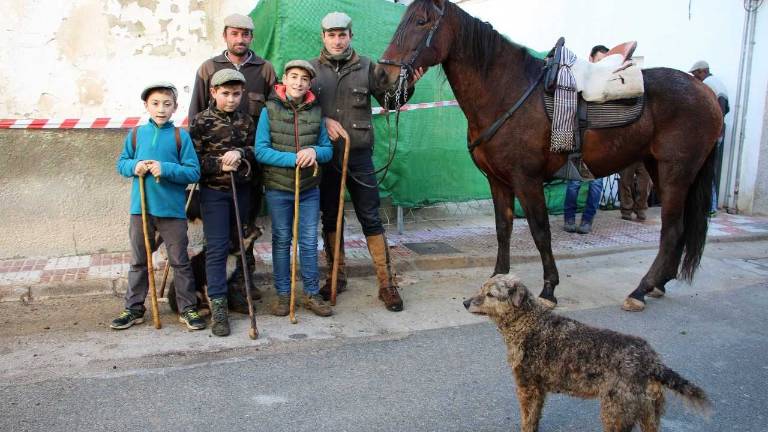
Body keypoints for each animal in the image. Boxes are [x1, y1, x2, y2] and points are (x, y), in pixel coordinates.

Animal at [376, 0, 724, 310]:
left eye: (421, 22)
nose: (382, 77)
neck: (507, 92)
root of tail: (706, 93)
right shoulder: (498, 181)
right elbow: (503, 230)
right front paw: (496, 280)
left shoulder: (527, 181)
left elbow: (540, 232)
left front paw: (549, 289)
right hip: (659, 168)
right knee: (678, 230)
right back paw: (657, 285)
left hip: (676, 172)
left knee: (672, 230)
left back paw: (640, 290)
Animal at [462, 276, 708, 430]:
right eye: (481, 288)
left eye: (490, 294)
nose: (464, 302)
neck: (528, 322)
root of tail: (652, 361)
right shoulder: (539, 390)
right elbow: (535, 418)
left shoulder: (527, 387)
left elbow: (527, 420)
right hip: (649, 413)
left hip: (615, 412)